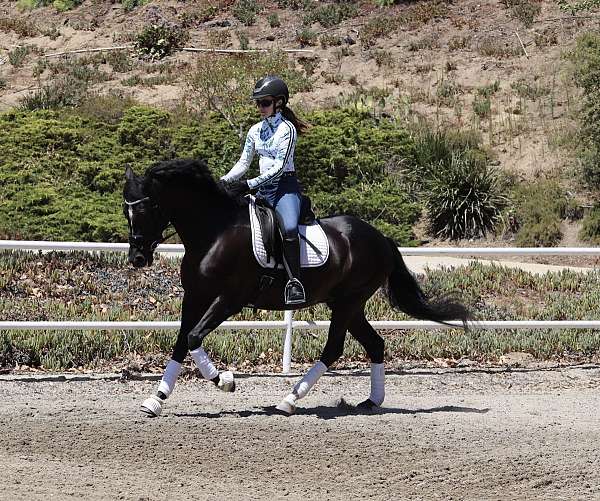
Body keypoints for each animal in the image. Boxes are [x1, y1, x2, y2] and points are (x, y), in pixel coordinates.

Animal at [120, 159, 468, 414]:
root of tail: (380, 237)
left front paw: (225, 381)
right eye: (126, 210)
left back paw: (289, 400)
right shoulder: (194, 297)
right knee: (375, 344)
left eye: (147, 208)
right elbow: (182, 342)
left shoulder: (229, 299)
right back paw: (371, 401)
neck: (214, 233)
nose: (138, 257)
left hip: (348, 302)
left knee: (334, 348)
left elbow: (193, 337)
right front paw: (156, 399)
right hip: (347, 304)